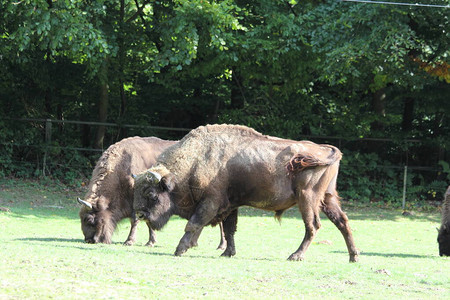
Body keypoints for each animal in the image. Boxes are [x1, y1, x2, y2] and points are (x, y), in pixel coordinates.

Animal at [133, 123, 358, 262]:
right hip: (327, 198)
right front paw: (228, 253)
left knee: (313, 226)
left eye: (152, 194)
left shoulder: (210, 203)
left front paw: (180, 249)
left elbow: (193, 224)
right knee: (342, 222)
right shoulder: (230, 206)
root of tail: (325, 149)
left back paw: (296, 255)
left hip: (307, 198)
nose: (140, 214)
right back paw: (353, 256)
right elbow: (230, 229)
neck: (196, 161)